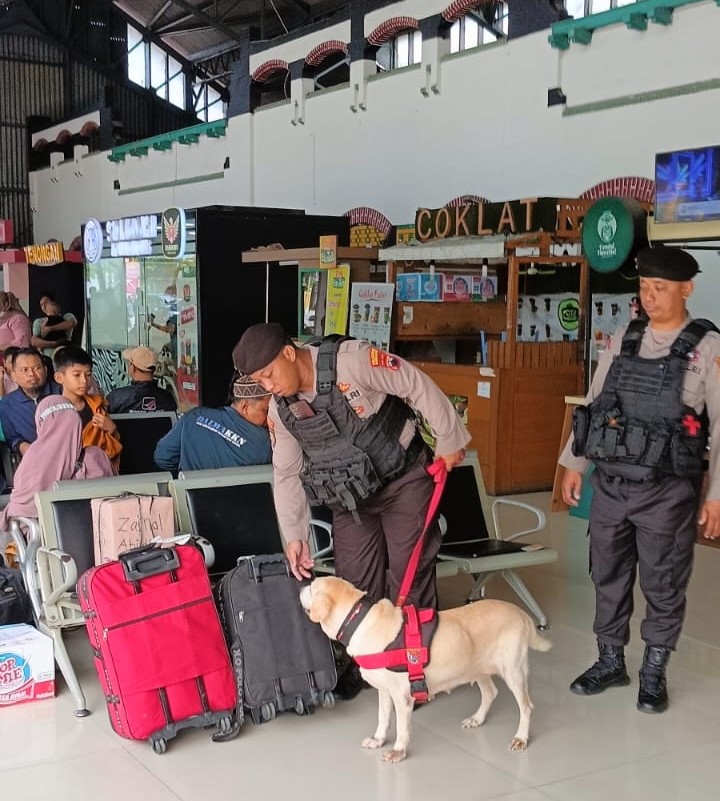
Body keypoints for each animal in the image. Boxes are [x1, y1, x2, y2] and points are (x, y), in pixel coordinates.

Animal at [298, 576, 552, 764]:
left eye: (312, 587)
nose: (300, 585)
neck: (358, 621)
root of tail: (521, 613)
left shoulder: (402, 697)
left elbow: (402, 728)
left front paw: (398, 751)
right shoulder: (384, 691)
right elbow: (382, 718)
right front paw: (378, 739)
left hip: (513, 672)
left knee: (526, 707)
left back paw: (521, 737)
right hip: (477, 668)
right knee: (491, 693)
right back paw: (477, 719)